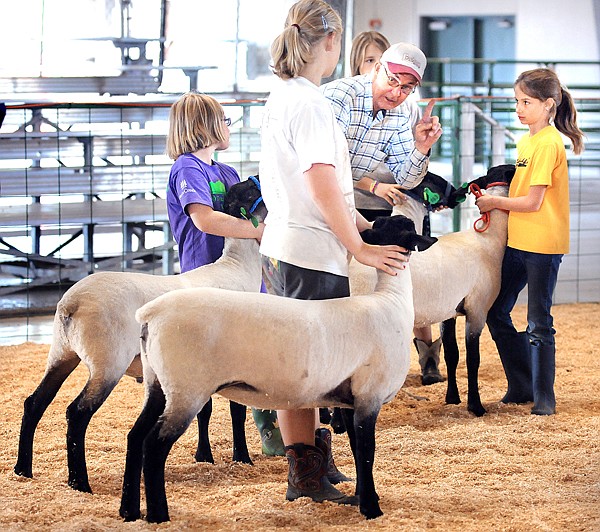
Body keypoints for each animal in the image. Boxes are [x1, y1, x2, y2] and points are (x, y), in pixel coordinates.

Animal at [12, 177, 266, 492]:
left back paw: (23, 470)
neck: (237, 267)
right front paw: (242, 458)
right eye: (252, 191)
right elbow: (237, 412)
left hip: (61, 353)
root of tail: (71, 304)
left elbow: (205, 410)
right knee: (77, 413)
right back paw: (79, 482)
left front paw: (204, 457)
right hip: (107, 362)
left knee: (34, 403)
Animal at [117, 214, 436, 520]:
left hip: (158, 383)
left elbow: (358, 451)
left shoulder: (351, 399)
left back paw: (129, 511)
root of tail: (151, 313)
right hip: (186, 389)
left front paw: (359, 496)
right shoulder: (370, 395)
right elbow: (368, 452)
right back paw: (158, 515)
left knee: (135, 436)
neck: (390, 300)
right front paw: (371, 508)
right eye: (402, 225)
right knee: (154, 446)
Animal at [352, 164, 516, 418]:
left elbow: (452, 354)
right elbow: (473, 359)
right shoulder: (477, 310)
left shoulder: (449, 311)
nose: (458, 192)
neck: (489, 238)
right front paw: (476, 406)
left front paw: (452, 398)